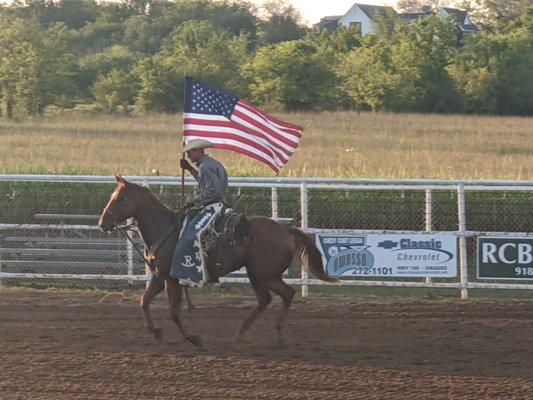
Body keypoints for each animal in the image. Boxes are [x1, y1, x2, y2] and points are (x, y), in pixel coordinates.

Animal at [97, 175, 334, 346]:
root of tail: (286, 229)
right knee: (264, 299)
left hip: (266, 274)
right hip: (255, 273)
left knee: (287, 293)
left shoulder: (171, 279)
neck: (165, 229)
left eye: (121, 198)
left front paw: (193, 338)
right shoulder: (159, 276)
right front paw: (155, 332)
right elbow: (144, 302)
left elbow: (174, 312)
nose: (102, 222)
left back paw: (280, 335)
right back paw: (241, 333)